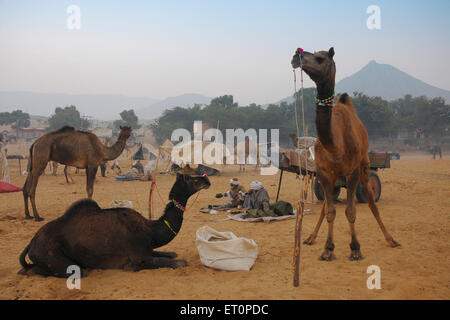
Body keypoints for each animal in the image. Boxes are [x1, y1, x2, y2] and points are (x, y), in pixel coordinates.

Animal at [18, 172, 212, 278]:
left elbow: (170, 253)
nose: (207, 180)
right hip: (50, 254)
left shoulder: (148, 248)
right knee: (72, 270)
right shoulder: (137, 258)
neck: (151, 231)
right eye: (193, 180)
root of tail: (31, 243)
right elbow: (176, 262)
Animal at [292, 48, 400, 262]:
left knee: (371, 201)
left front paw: (355, 249)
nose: (296, 55)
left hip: (364, 166)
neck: (335, 145)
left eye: (320, 58)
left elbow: (351, 211)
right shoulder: (324, 172)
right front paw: (327, 249)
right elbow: (330, 210)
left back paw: (390, 239)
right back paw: (310, 237)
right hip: (335, 176)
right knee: (326, 205)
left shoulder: (352, 172)